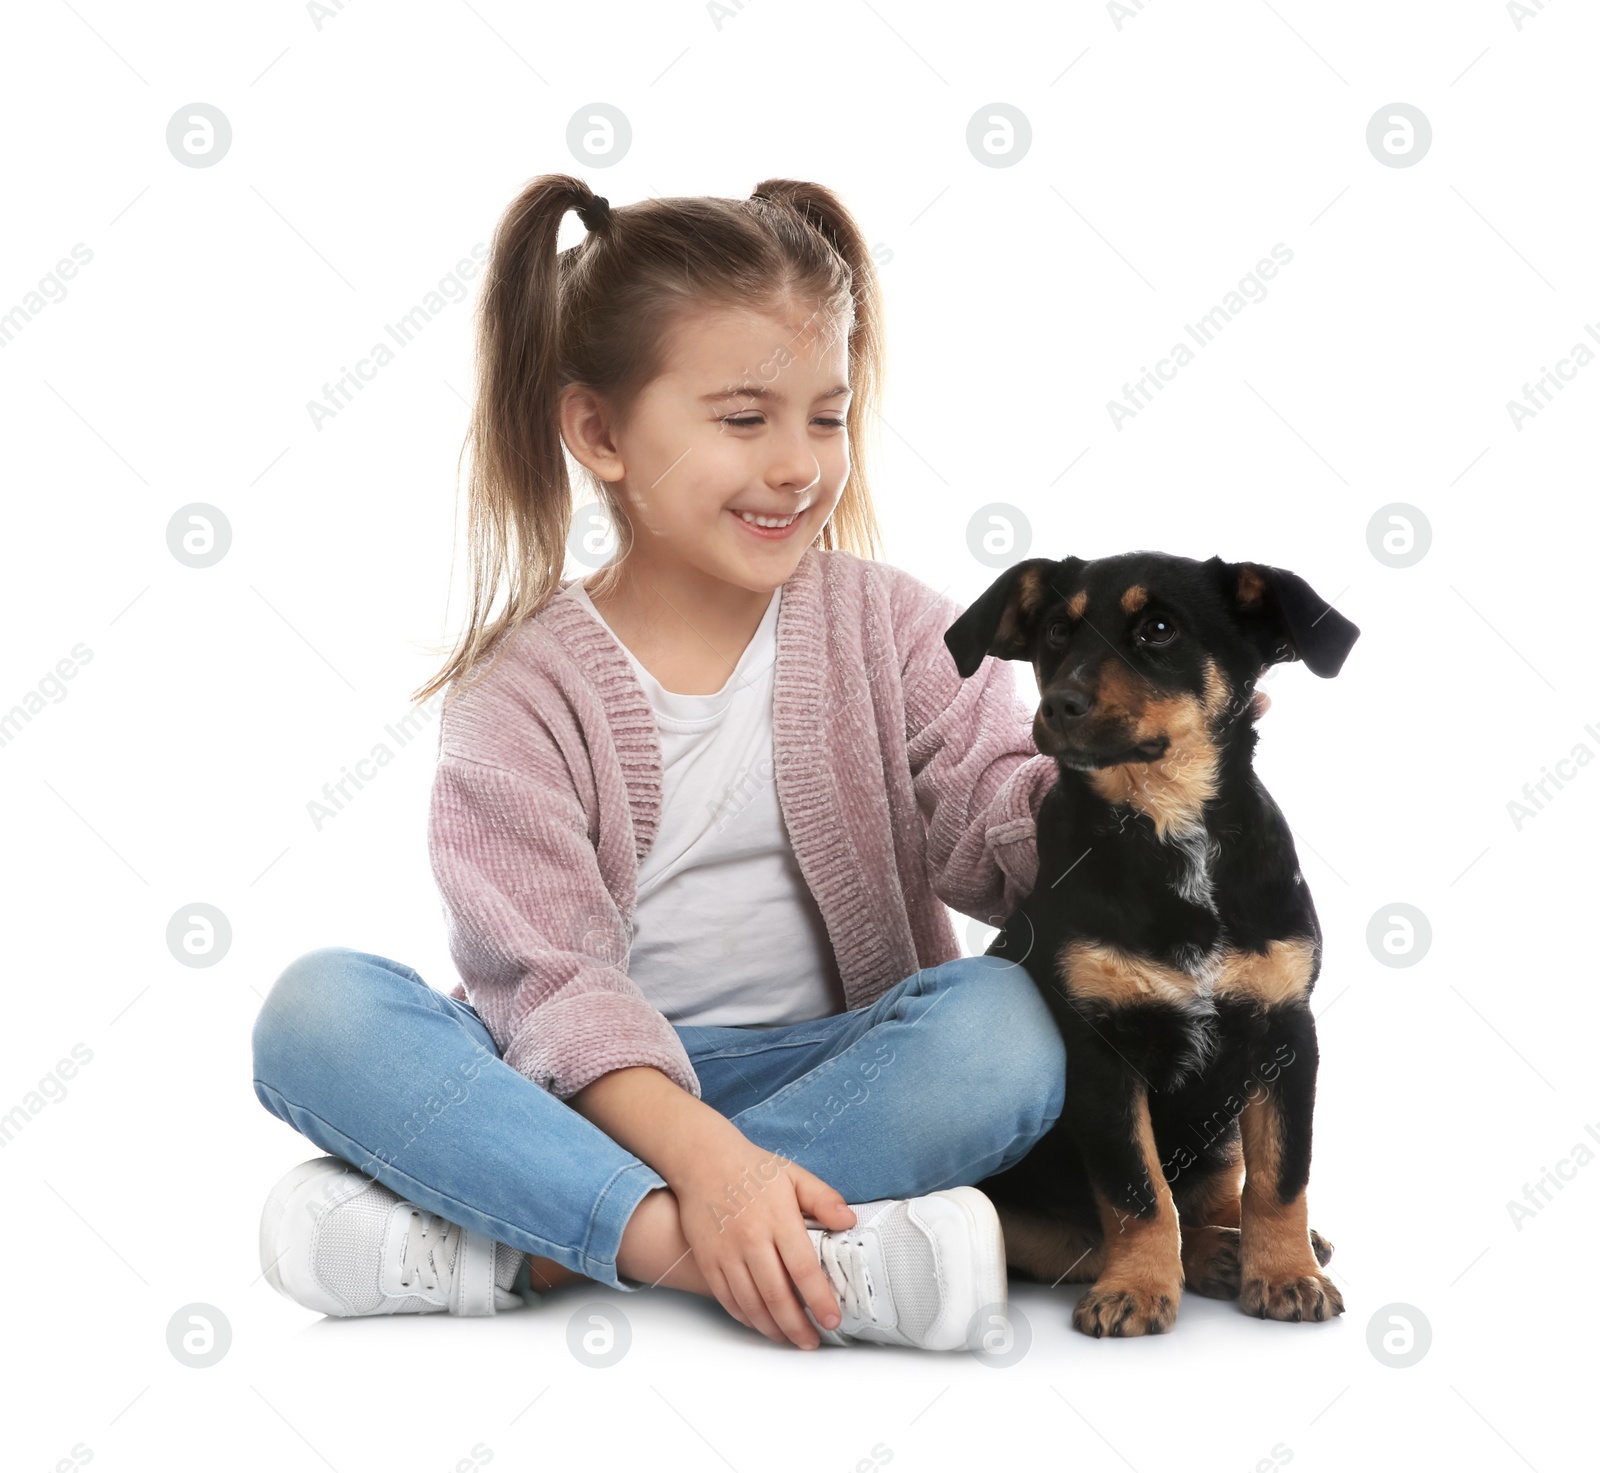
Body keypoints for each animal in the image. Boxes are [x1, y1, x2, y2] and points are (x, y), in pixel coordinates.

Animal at [947, 550, 1363, 1330]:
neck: (1168, 824)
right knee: (1091, 1233)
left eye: (1160, 629)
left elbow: (1282, 1176)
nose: (1061, 705)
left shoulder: (1287, 1030)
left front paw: (1287, 1274)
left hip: (1221, 1134)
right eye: (1056, 631)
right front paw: (1138, 1289)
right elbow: (1137, 1192)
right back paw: (1207, 1254)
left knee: (1219, 1190)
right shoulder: (1100, 1049)